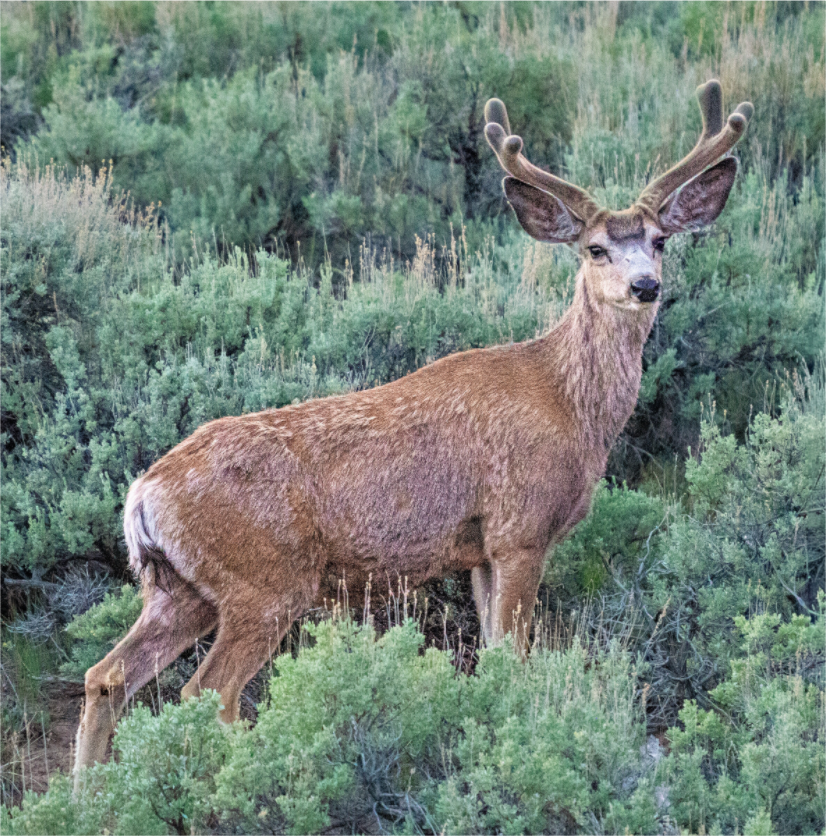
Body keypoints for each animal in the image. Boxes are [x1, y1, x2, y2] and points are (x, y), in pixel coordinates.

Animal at [73, 80, 752, 786]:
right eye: (595, 248)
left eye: (661, 240)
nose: (646, 285)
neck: (568, 404)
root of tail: (141, 495)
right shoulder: (520, 529)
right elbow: (514, 657)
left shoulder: (478, 550)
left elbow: (493, 654)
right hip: (264, 582)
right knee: (206, 691)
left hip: (179, 588)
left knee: (107, 676)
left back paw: (86, 795)